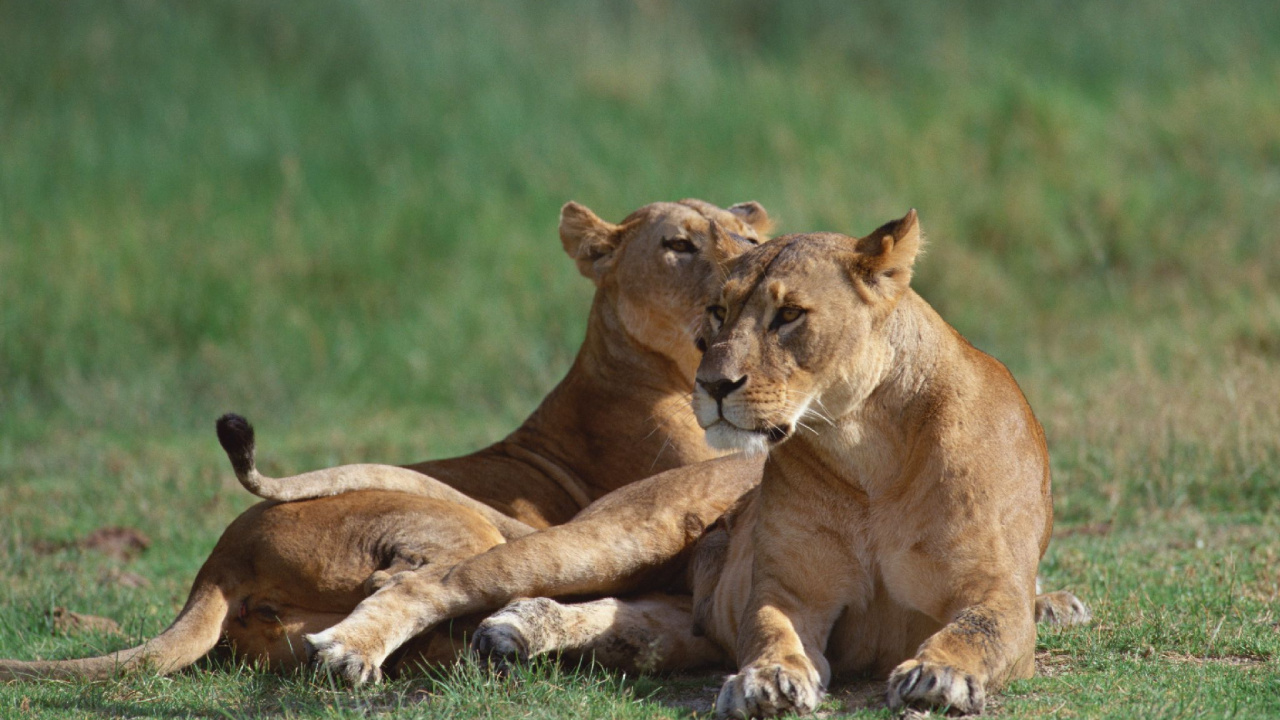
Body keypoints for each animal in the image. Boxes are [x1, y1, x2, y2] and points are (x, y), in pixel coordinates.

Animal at [0, 198, 774, 682]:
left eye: (750, 243)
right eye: (679, 245)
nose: (746, 273)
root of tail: (219, 560)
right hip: (457, 526)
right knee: (407, 583)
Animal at [291, 215, 1089, 689]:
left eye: (789, 315)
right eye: (717, 311)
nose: (712, 383)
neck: (868, 450)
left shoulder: (994, 590)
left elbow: (980, 631)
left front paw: (939, 674)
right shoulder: (792, 593)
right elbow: (775, 633)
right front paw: (772, 683)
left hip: (680, 612)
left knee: (631, 619)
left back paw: (518, 629)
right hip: (614, 536)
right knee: (438, 580)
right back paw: (349, 650)